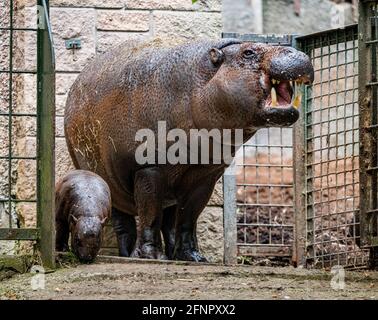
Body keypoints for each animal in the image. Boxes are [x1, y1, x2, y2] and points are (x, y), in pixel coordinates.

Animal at [65, 38, 314, 262]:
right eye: (248, 52)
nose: (294, 51)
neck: (203, 79)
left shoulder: (205, 175)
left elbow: (188, 218)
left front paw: (194, 257)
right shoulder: (150, 168)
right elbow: (150, 214)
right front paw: (151, 256)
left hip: (171, 187)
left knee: (169, 221)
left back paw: (173, 256)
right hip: (107, 178)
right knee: (125, 222)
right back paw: (129, 255)